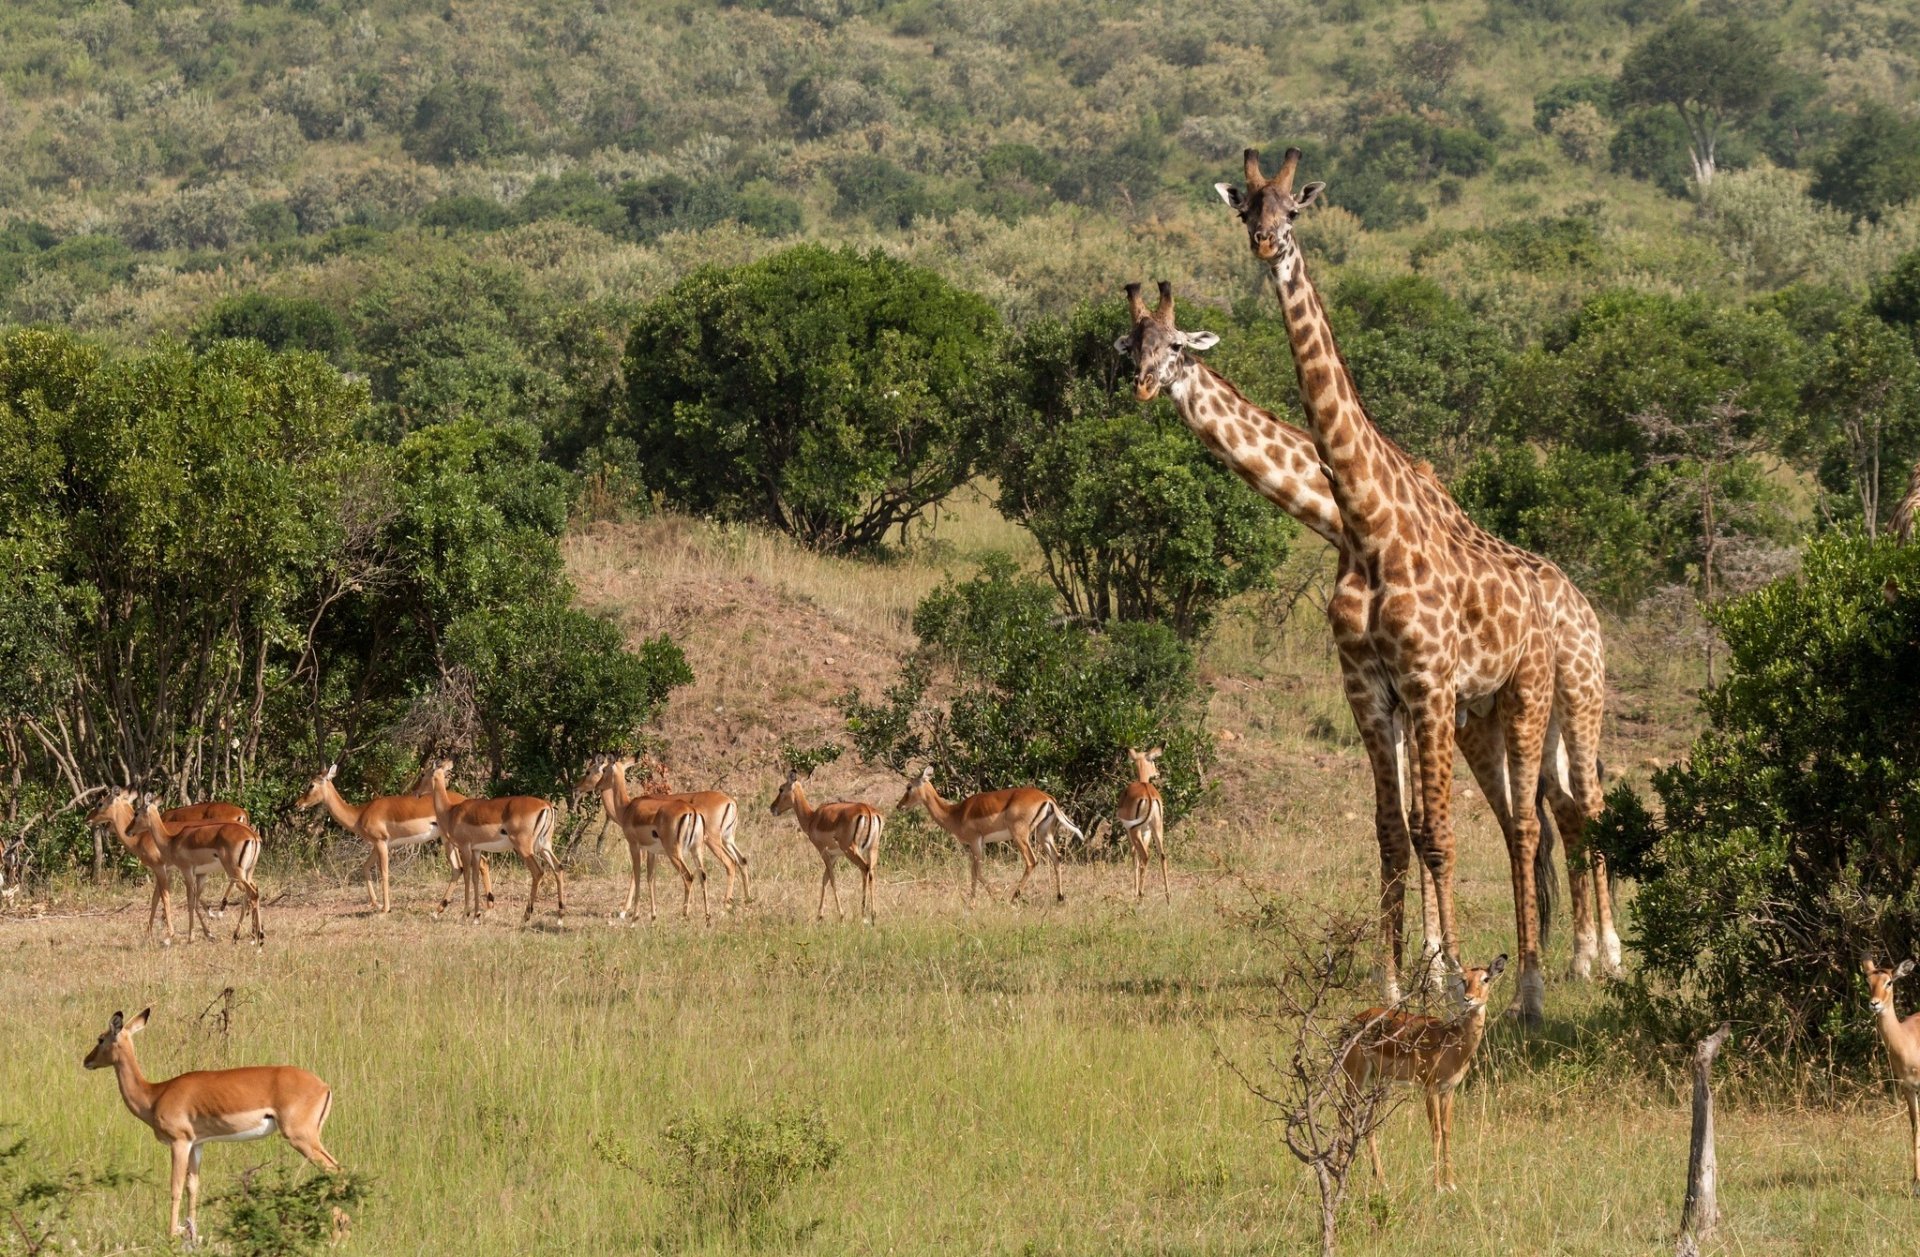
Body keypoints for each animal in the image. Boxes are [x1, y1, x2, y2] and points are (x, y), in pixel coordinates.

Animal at [1116, 281, 1621, 985]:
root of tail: (1585, 604)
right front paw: (1428, 964)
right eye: (1130, 347)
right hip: (1506, 721)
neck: (1339, 517)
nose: (1140, 385)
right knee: (1560, 812)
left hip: (1577, 693)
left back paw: (1606, 955)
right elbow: (1412, 822)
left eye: (1174, 347)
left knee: (1590, 807)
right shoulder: (1403, 698)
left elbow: (1423, 823)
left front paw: (1434, 969)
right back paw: (1576, 954)